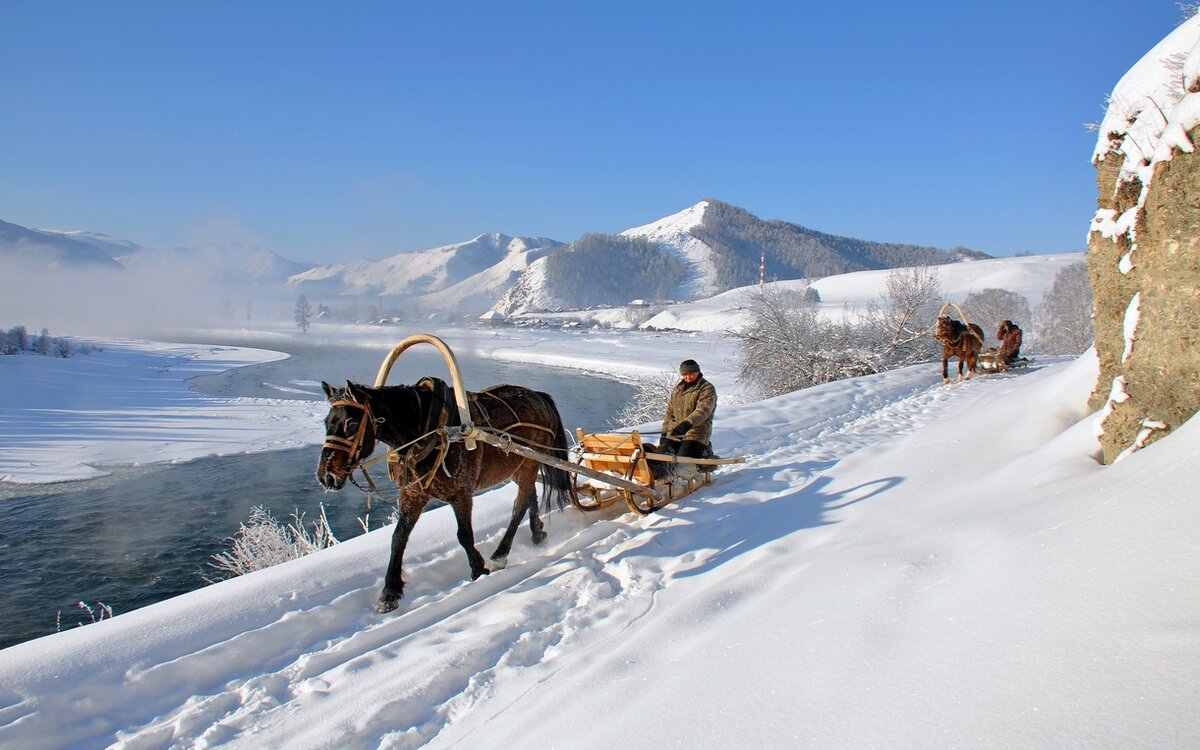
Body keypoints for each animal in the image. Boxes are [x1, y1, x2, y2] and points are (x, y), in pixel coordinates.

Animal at [316, 376, 573, 612]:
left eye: (351, 423)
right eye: (327, 421)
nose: (326, 475)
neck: (429, 430)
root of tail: (539, 397)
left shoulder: (461, 493)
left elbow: (464, 535)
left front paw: (478, 569)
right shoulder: (413, 494)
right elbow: (398, 538)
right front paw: (390, 592)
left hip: (529, 463)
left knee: (519, 506)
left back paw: (500, 554)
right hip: (520, 466)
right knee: (529, 497)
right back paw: (537, 534)